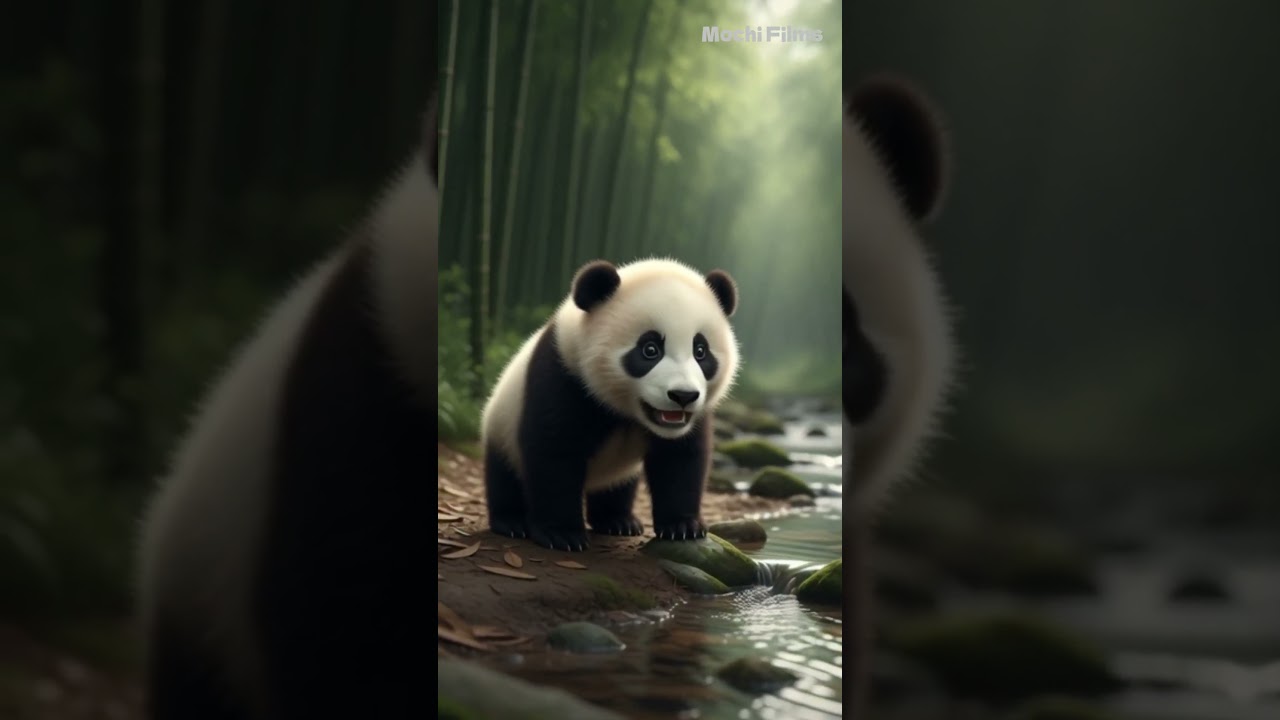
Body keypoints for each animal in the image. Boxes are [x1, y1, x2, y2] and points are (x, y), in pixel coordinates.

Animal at [480, 258, 740, 552]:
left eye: (700, 351)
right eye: (650, 350)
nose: (683, 396)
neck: (624, 410)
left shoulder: (694, 416)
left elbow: (680, 458)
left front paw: (683, 526)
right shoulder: (563, 375)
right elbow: (554, 451)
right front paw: (562, 534)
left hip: (618, 471)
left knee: (617, 486)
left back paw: (617, 521)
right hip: (502, 427)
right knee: (505, 476)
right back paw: (511, 522)